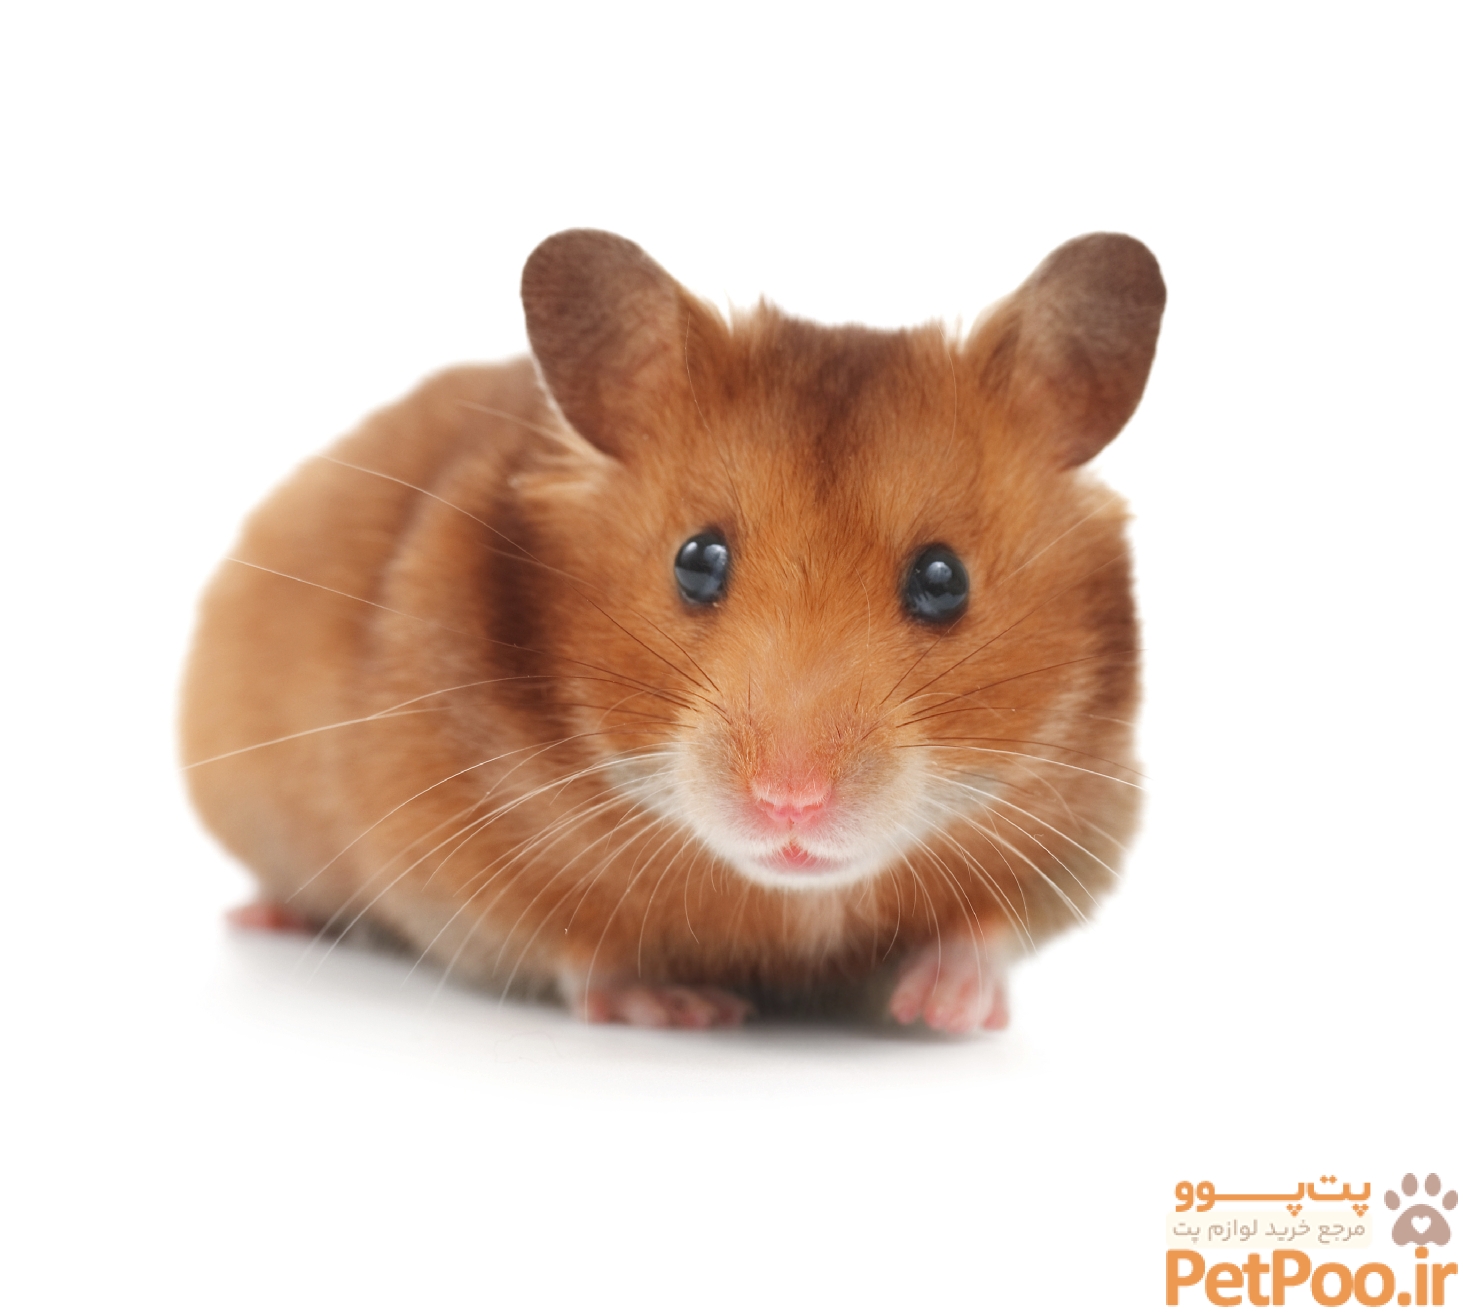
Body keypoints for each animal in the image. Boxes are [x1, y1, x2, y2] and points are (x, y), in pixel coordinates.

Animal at [180, 229, 1163, 1033]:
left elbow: (989, 928)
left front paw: (945, 1010)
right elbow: (582, 949)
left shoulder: (1084, 827)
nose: (790, 803)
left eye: (942, 579)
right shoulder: (459, 861)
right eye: (696, 561)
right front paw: (686, 1006)